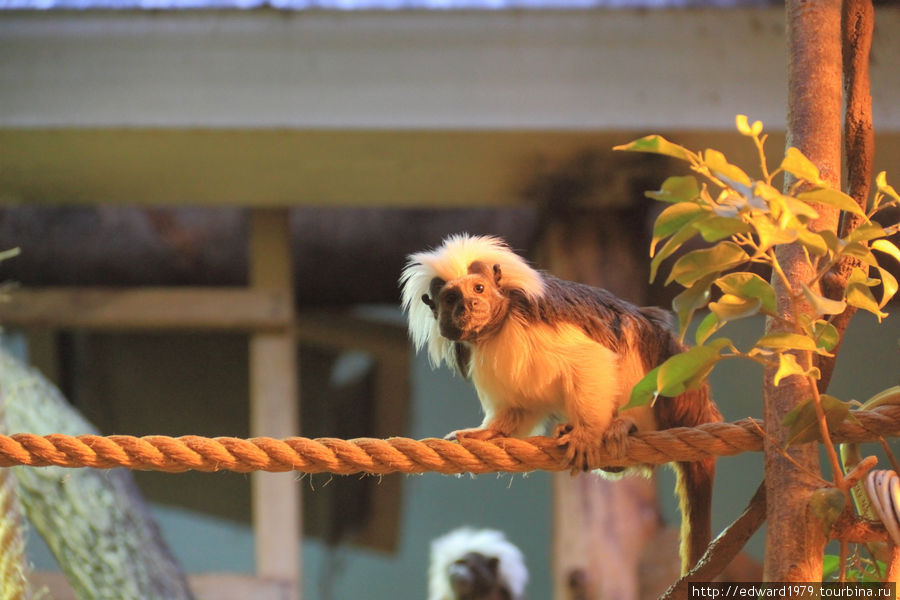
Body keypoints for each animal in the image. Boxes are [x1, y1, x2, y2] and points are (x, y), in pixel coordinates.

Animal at [400, 233, 724, 572]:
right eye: (451, 298)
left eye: (478, 289)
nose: (470, 305)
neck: (498, 328)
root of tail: (698, 408)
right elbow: (520, 406)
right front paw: (488, 432)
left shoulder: (535, 323)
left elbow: (589, 360)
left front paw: (588, 433)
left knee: (627, 338)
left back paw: (626, 425)